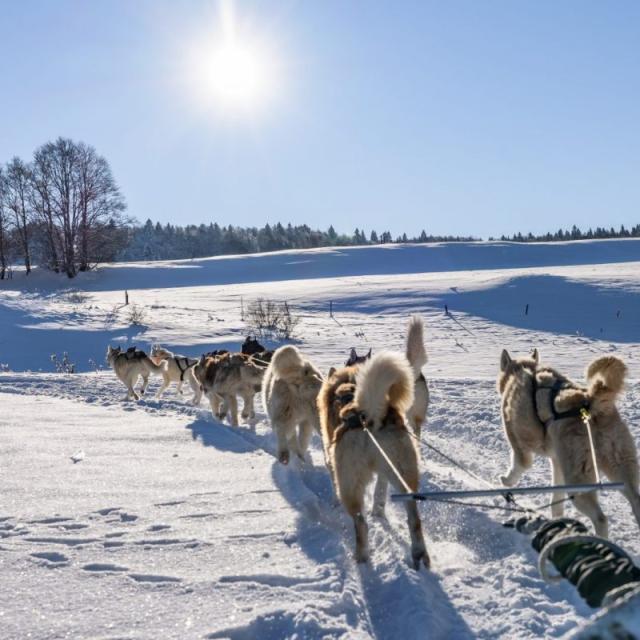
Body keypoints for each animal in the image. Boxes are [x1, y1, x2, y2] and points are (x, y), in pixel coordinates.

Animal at [318, 352, 430, 568]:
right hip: (402, 472)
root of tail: (371, 417)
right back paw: (419, 553)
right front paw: (378, 512)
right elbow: (379, 493)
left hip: (350, 485)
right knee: (414, 517)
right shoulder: (384, 472)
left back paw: (361, 557)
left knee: (361, 523)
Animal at [500, 348, 640, 536]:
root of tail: (589, 403)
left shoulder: (518, 444)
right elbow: (556, 500)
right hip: (620, 467)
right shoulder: (557, 461)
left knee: (601, 519)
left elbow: (518, 467)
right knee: (635, 501)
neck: (525, 370)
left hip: (578, 482)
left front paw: (506, 480)